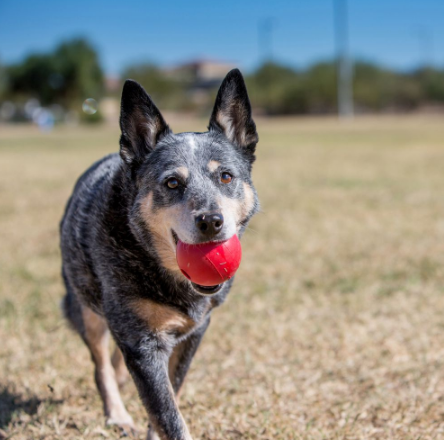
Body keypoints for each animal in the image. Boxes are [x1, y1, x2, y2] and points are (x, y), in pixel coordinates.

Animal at [60, 69, 258, 440]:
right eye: (172, 183)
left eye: (226, 176)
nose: (211, 221)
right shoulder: (141, 343)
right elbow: (167, 413)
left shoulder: (194, 332)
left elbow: (171, 394)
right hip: (85, 306)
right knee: (100, 363)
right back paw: (117, 415)